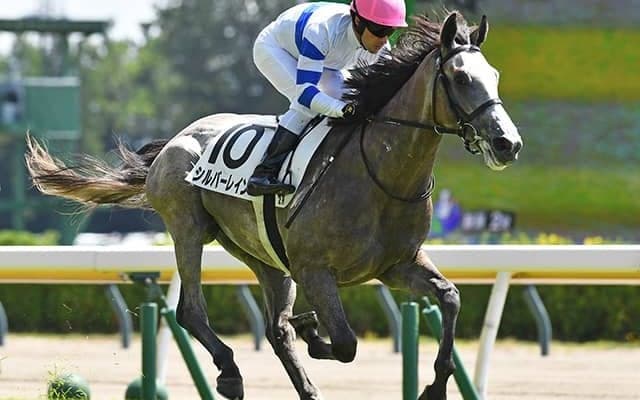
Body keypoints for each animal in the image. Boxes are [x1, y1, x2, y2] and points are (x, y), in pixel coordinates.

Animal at [26, 11, 521, 400]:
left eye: (496, 76)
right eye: (461, 78)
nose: (508, 143)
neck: (380, 174)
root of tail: (175, 139)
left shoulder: (397, 263)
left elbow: (451, 297)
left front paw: (435, 385)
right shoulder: (316, 269)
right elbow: (345, 343)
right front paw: (314, 331)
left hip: (262, 254)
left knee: (275, 329)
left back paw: (303, 381)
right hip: (189, 226)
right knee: (192, 310)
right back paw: (230, 372)